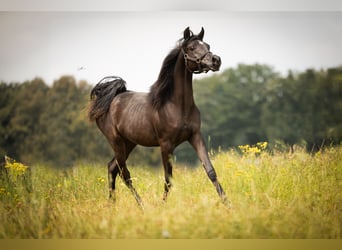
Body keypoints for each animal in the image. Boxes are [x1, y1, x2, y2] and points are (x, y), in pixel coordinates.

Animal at [88, 27, 227, 207]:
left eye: (207, 45)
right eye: (191, 48)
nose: (216, 61)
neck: (177, 106)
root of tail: (111, 99)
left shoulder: (195, 137)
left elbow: (210, 171)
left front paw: (228, 204)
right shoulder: (166, 145)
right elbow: (168, 179)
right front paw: (163, 206)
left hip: (129, 143)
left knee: (112, 168)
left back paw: (113, 204)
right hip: (116, 142)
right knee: (124, 173)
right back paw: (142, 206)